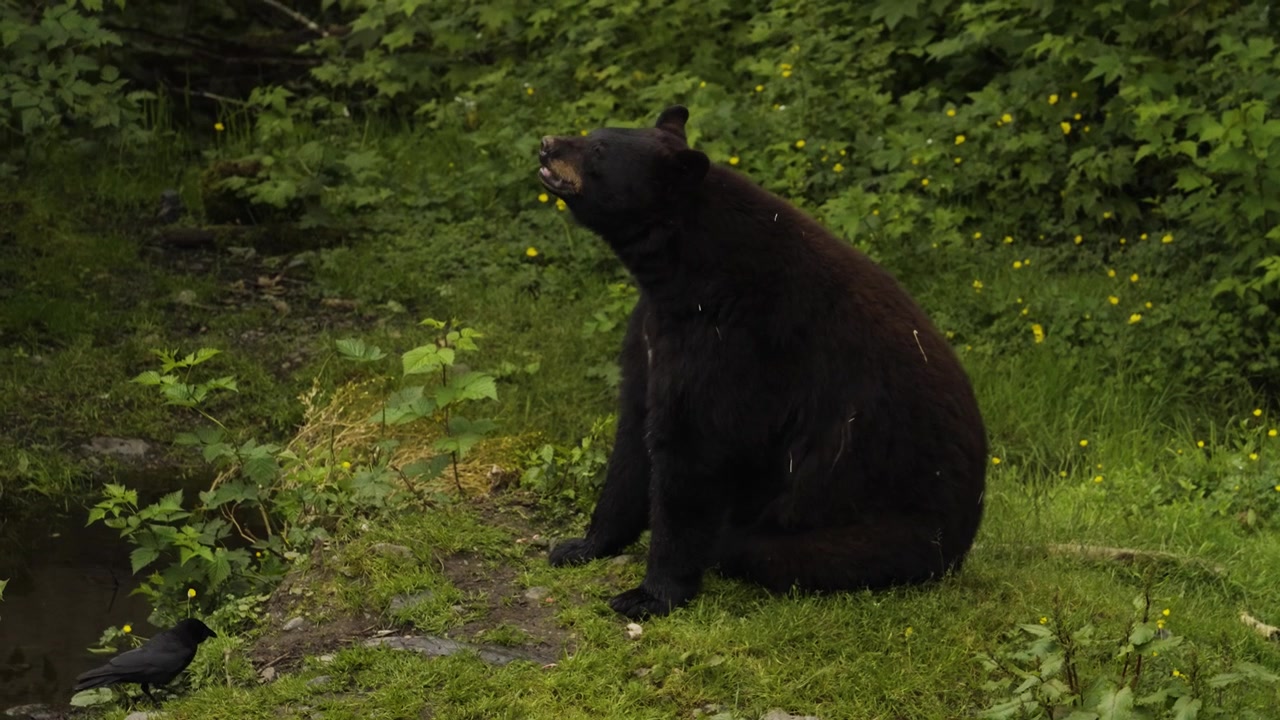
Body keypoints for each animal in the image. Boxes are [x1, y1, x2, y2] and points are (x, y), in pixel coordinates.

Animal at [539, 105, 987, 619]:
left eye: (598, 150)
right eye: (594, 134)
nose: (547, 144)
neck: (684, 275)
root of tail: (965, 536)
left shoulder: (735, 347)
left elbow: (690, 451)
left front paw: (649, 594)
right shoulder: (653, 333)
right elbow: (632, 436)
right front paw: (580, 545)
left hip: (866, 530)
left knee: (756, 548)